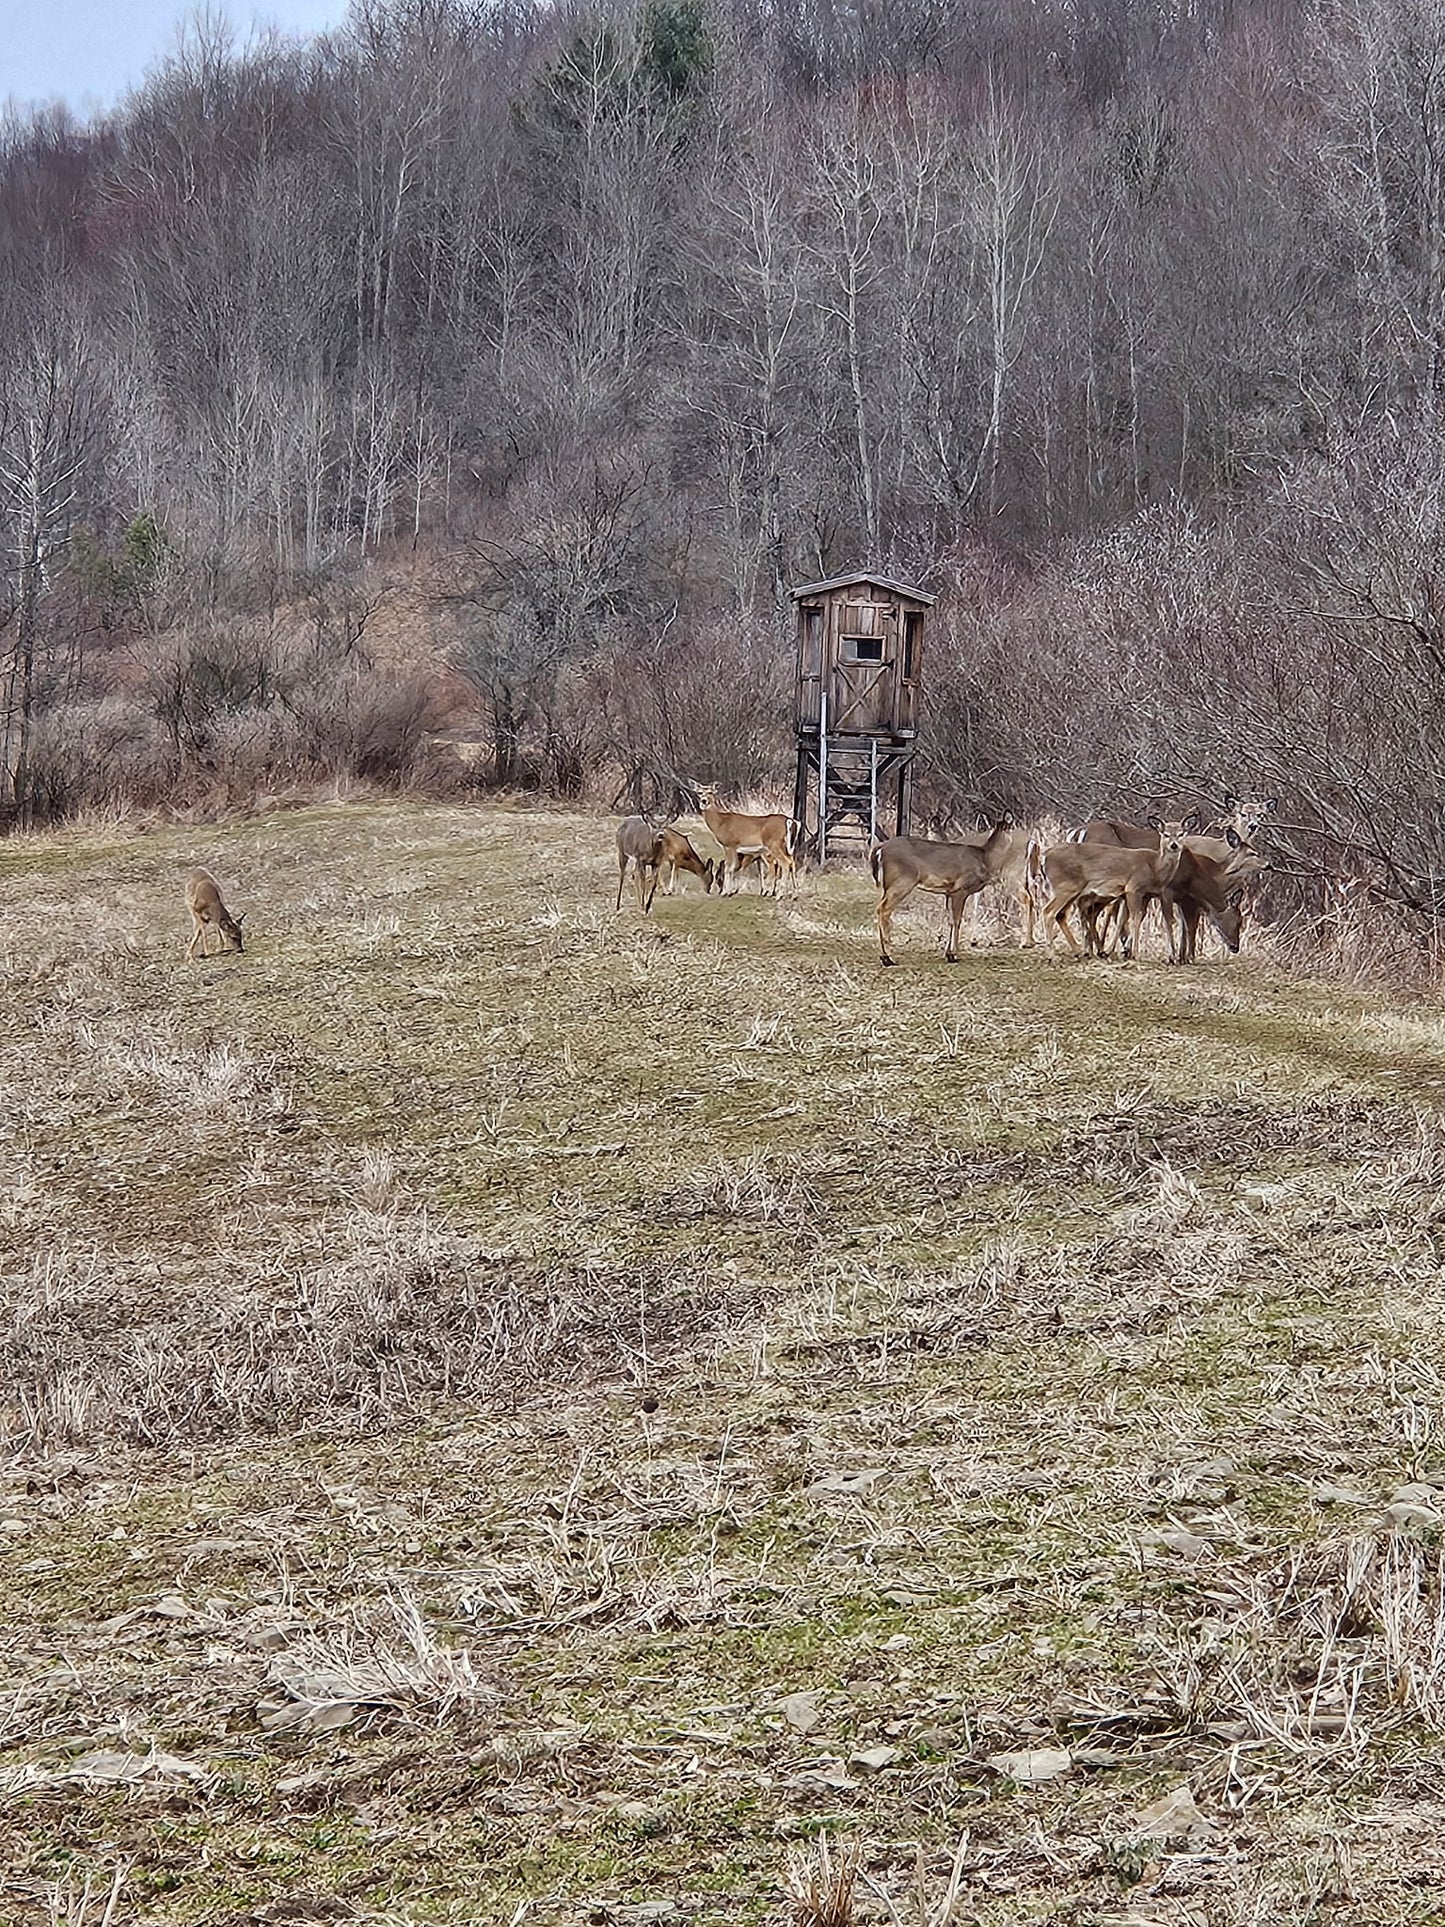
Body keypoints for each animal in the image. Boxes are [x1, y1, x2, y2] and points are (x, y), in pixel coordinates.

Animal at [871, 821, 1014, 966]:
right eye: (1011, 827)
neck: (986, 858)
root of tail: (881, 848)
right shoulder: (960, 889)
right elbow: (957, 921)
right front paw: (955, 954)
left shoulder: (949, 892)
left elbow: (950, 920)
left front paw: (948, 954)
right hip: (902, 881)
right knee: (883, 909)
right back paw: (888, 957)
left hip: (889, 885)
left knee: (881, 908)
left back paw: (884, 955)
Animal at [1042, 821, 1192, 961]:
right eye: (1165, 834)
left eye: (1181, 833)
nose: (1174, 845)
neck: (1155, 867)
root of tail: (1046, 855)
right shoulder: (1134, 888)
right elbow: (1137, 917)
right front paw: (1135, 953)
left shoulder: (1140, 894)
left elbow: (1129, 917)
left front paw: (1126, 950)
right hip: (1065, 887)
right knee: (1048, 912)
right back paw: (1053, 955)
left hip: (1073, 890)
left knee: (1062, 914)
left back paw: (1080, 951)